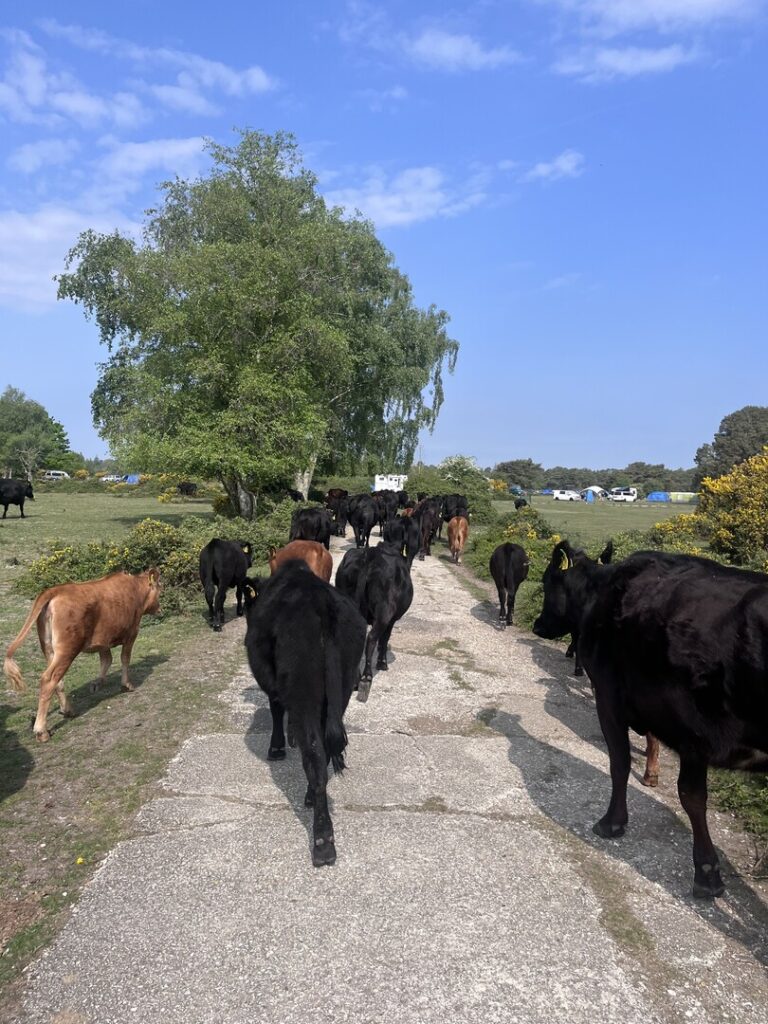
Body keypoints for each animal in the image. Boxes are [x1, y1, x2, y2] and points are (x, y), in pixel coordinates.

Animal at [4, 570, 161, 741]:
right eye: (160, 589)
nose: (160, 609)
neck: (135, 589)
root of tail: (55, 590)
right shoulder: (132, 633)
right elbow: (124, 658)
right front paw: (127, 685)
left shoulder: (103, 639)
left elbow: (106, 660)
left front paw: (97, 683)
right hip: (67, 649)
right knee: (48, 679)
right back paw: (42, 731)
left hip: (49, 649)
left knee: (58, 680)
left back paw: (68, 710)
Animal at [243, 561, 366, 866]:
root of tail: (320, 601)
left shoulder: (277, 687)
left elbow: (276, 709)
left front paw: (277, 747)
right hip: (342, 686)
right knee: (324, 748)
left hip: (303, 687)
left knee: (315, 754)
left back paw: (322, 841)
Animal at [335, 542, 414, 702]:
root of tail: (370, 554)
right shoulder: (391, 620)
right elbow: (384, 638)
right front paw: (382, 663)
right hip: (384, 611)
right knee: (371, 638)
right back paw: (365, 679)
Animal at [531, 543, 768, 897]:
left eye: (548, 583)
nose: (537, 626)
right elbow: (690, 793)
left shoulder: (614, 699)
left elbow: (626, 765)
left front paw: (612, 822)